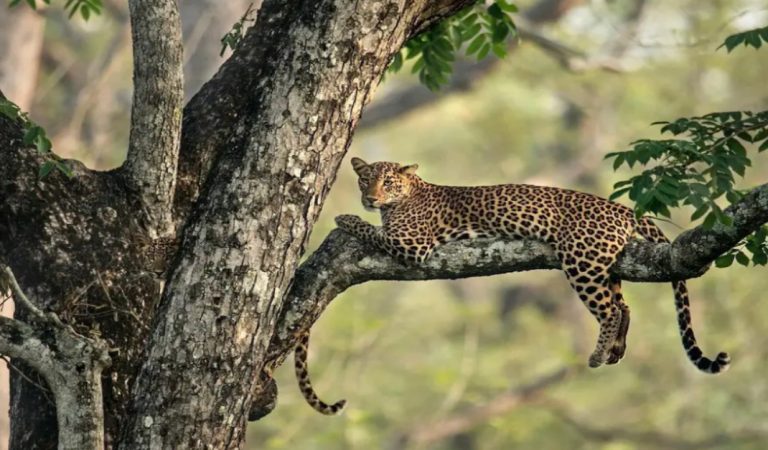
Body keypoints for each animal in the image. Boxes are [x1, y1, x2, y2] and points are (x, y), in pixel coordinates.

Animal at [296, 157, 732, 414]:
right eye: (365, 180)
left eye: (387, 182)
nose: (370, 197)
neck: (409, 194)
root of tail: (622, 208)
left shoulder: (411, 243)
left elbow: (369, 230)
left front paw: (345, 218)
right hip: (605, 267)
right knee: (624, 306)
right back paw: (616, 350)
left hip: (583, 262)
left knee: (609, 309)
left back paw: (597, 354)